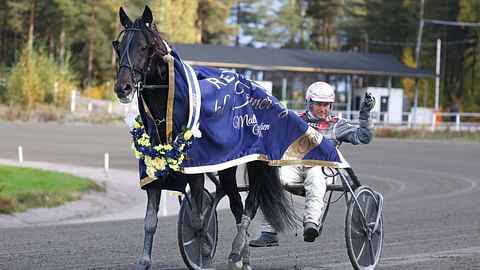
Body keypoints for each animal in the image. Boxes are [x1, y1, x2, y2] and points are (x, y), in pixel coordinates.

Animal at [112, 5, 296, 270]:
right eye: (119, 46)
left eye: (144, 46)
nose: (122, 87)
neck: (166, 113)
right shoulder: (153, 171)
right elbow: (150, 221)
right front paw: (144, 262)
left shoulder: (196, 172)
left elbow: (199, 221)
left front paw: (206, 256)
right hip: (227, 166)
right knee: (236, 205)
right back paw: (242, 259)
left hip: (256, 163)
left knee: (250, 205)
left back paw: (237, 252)